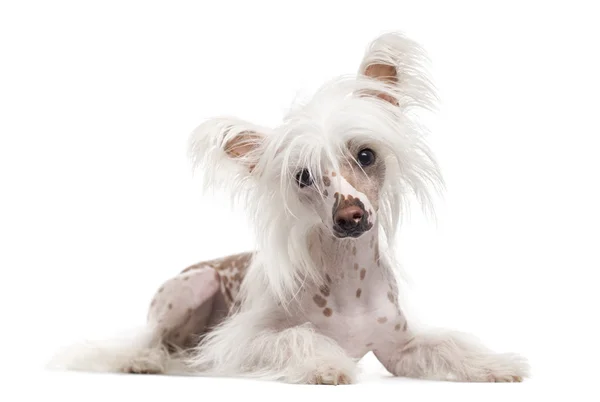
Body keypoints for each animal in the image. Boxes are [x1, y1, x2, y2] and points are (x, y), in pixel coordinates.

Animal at [51, 30, 528, 384]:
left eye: (366, 155)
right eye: (303, 177)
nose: (350, 217)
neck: (349, 281)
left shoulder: (400, 350)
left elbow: (447, 345)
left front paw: (495, 365)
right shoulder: (242, 341)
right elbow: (297, 339)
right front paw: (327, 364)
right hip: (194, 285)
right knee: (146, 339)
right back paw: (144, 361)